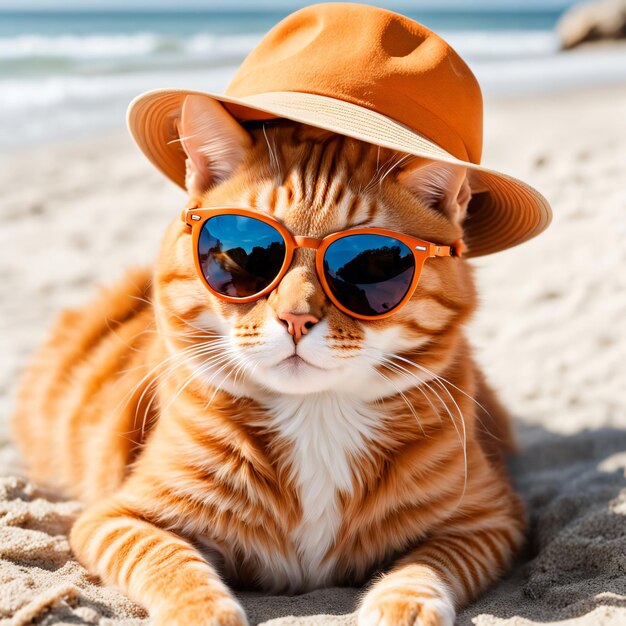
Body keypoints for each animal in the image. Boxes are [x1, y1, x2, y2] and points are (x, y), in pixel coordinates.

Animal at [13, 95, 520, 620]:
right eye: (241, 255)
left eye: (375, 265)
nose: (295, 318)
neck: (316, 416)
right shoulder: (116, 517)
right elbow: (168, 560)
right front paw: (204, 612)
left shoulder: (488, 521)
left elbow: (426, 566)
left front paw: (404, 605)